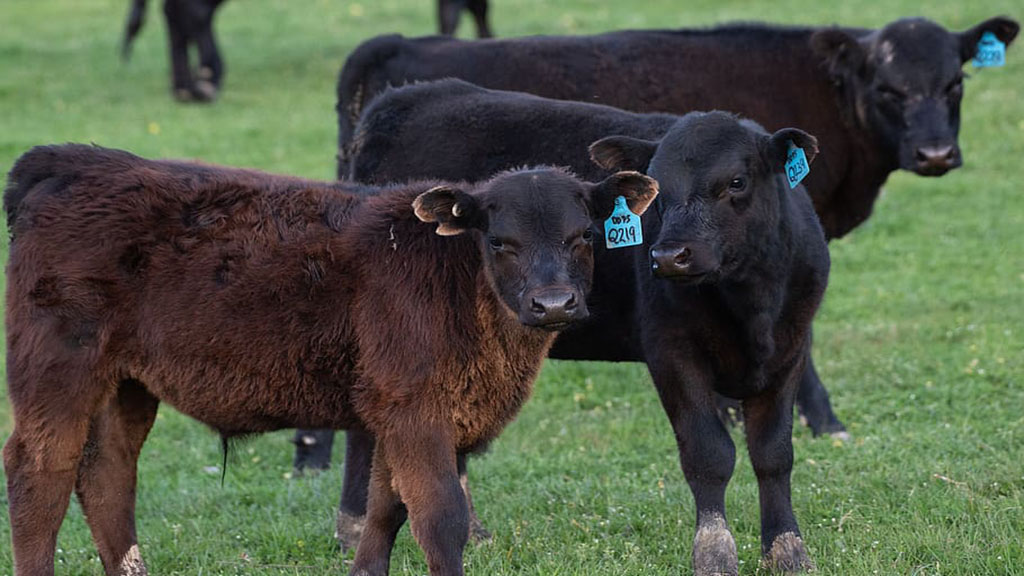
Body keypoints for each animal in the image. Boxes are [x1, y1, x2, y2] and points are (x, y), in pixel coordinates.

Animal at [2, 143, 655, 573]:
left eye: (584, 237)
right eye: (500, 242)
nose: (554, 303)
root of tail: (69, 161)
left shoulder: (396, 412)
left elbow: (386, 507)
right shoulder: (415, 409)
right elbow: (440, 516)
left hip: (127, 383)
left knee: (107, 472)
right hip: (57, 371)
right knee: (41, 472)